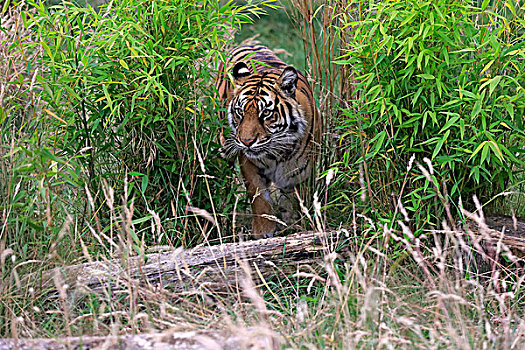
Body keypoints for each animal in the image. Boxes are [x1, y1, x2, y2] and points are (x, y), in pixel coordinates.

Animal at [215, 44, 322, 238]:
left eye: (265, 113)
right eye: (240, 111)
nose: (246, 141)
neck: (279, 150)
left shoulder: (302, 168)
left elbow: (294, 200)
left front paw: (293, 226)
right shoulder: (249, 162)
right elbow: (258, 196)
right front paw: (264, 231)